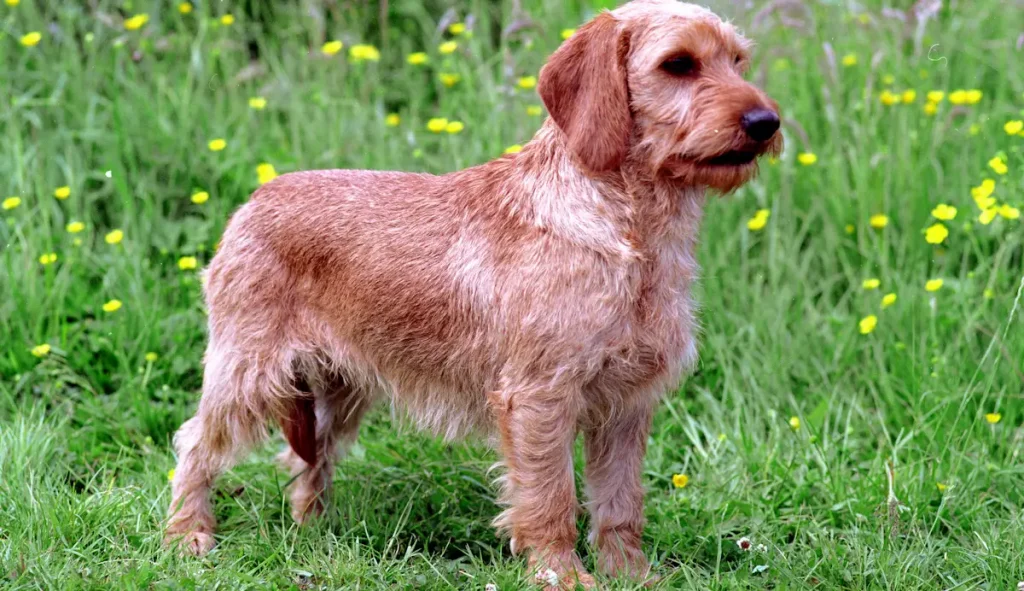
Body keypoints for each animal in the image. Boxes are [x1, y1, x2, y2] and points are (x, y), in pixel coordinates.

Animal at [163, 2, 778, 585]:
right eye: (678, 64)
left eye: (738, 61)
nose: (766, 121)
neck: (630, 231)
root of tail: (252, 201)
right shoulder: (539, 398)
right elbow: (550, 499)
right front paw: (561, 575)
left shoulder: (625, 406)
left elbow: (621, 503)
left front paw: (632, 574)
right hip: (247, 376)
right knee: (194, 444)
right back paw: (187, 535)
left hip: (337, 393)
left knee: (304, 461)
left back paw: (314, 531)